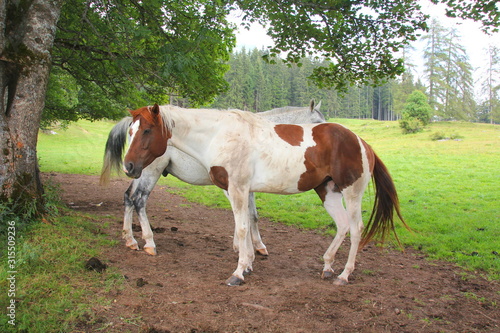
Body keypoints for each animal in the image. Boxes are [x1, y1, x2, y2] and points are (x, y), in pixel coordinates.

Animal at [100, 101, 324, 254]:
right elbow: (244, 216)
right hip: (149, 173)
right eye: (319, 123)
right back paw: (149, 241)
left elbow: (250, 215)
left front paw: (251, 246)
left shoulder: (245, 187)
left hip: (138, 173)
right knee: (139, 200)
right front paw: (246, 247)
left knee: (128, 197)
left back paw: (130, 239)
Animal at [122, 104, 410, 286]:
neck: (219, 135)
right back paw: (328, 267)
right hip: (328, 192)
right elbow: (247, 223)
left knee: (356, 228)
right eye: (130, 131)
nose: (129, 166)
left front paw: (239, 272)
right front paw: (248, 262)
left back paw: (344, 275)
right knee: (342, 226)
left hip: (351, 193)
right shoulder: (239, 190)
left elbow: (242, 228)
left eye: (146, 130)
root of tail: (361, 142)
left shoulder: (238, 188)